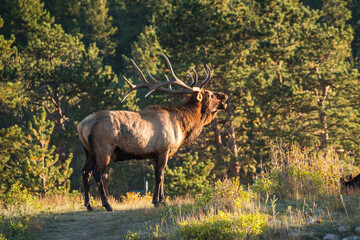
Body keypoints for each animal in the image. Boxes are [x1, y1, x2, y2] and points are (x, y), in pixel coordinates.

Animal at [77, 54, 228, 210]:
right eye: (210, 95)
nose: (224, 95)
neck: (182, 128)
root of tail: (82, 125)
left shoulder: (156, 153)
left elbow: (161, 175)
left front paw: (162, 200)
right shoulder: (164, 149)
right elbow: (159, 175)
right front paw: (156, 201)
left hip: (89, 151)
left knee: (85, 172)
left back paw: (88, 205)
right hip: (103, 149)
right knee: (97, 173)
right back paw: (107, 205)